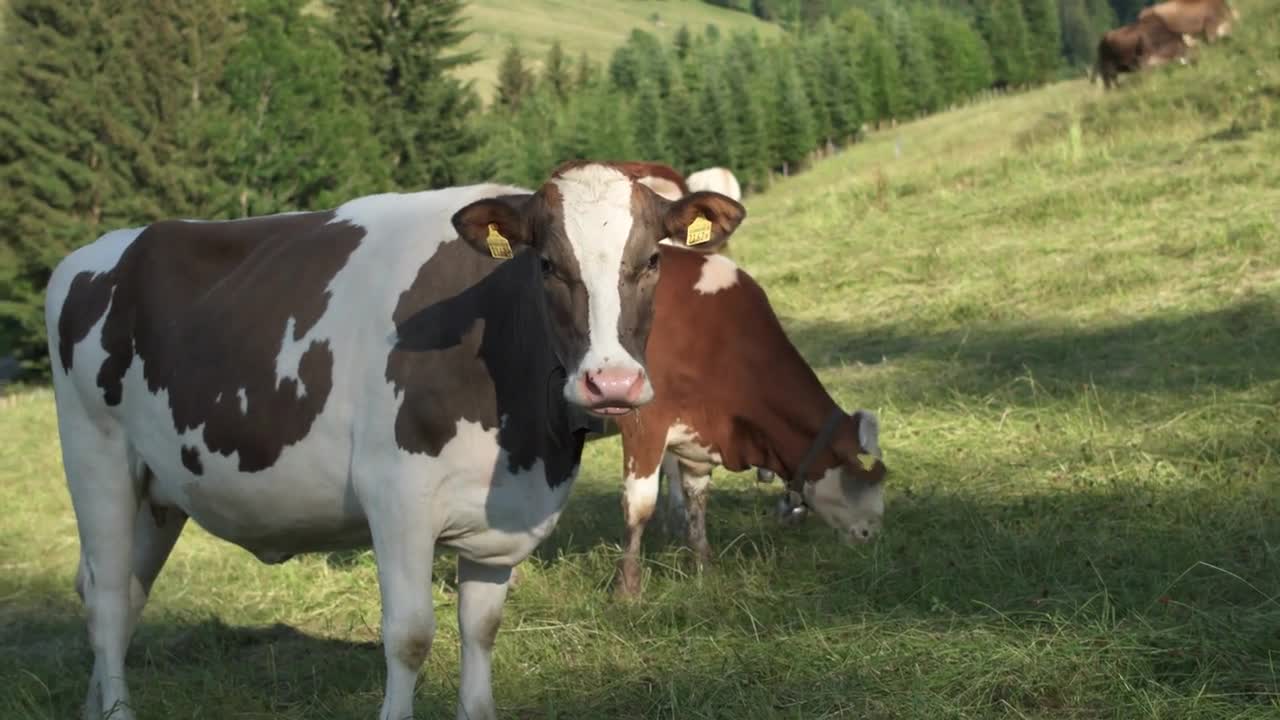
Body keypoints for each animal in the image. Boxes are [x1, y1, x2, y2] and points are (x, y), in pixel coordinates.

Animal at [45, 162, 747, 717]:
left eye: (652, 260)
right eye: (547, 264)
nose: (612, 382)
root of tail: (97, 252)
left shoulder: (502, 521)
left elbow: (481, 633)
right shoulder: (396, 498)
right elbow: (409, 636)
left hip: (158, 490)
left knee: (124, 593)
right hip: (95, 456)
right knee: (105, 599)